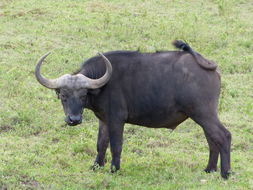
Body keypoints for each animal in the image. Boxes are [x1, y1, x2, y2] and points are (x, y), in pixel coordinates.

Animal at [35, 40, 231, 178]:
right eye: (63, 95)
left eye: (83, 95)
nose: (74, 120)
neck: (102, 85)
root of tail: (209, 66)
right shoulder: (104, 120)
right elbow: (101, 144)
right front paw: (96, 166)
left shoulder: (116, 120)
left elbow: (116, 145)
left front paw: (114, 169)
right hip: (203, 116)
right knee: (212, 139)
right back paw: (209, 169)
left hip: (203, 113)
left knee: (224, 135)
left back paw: (225, 173)